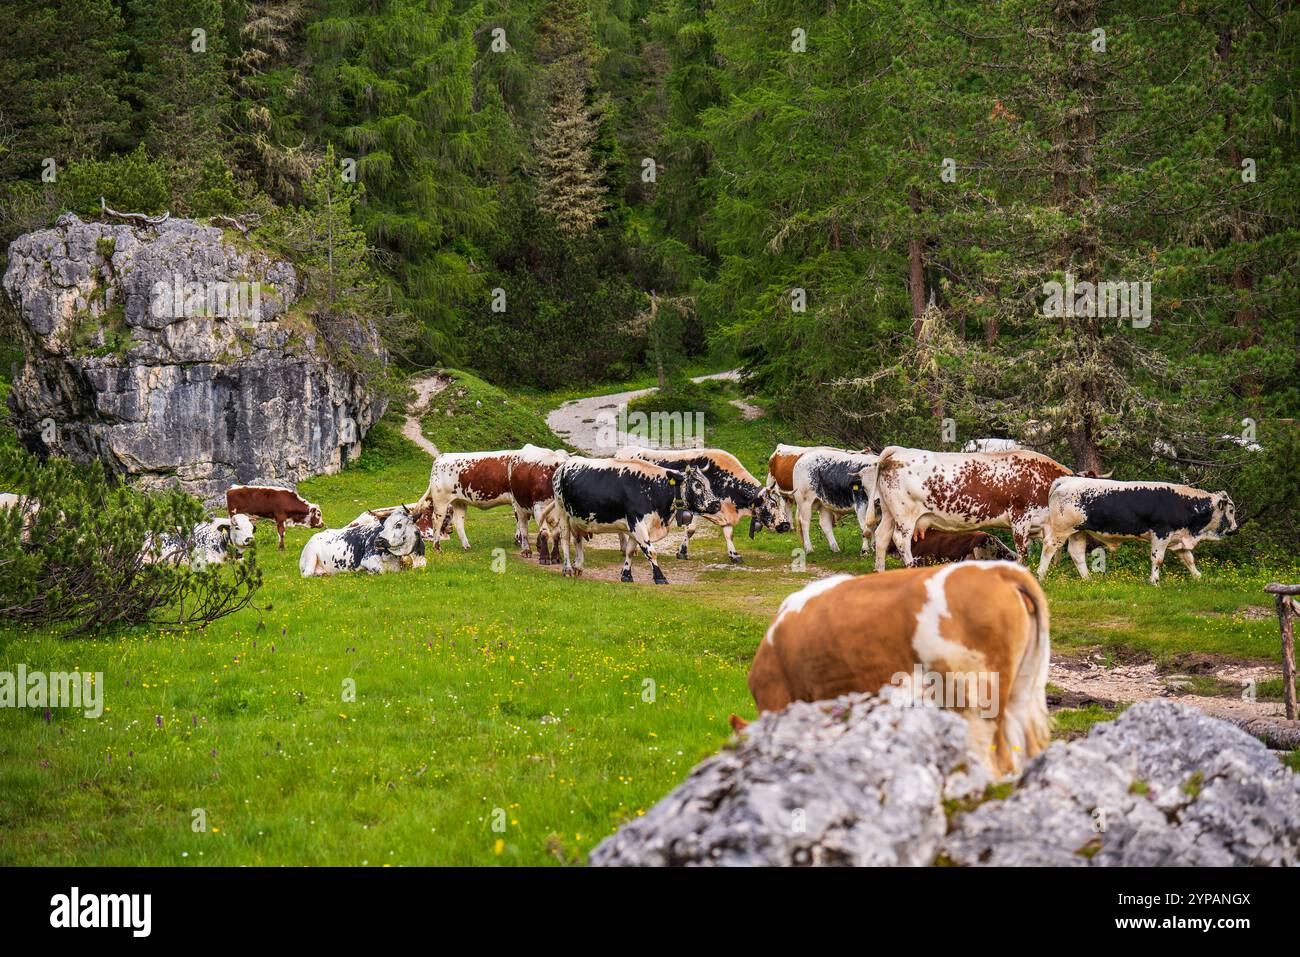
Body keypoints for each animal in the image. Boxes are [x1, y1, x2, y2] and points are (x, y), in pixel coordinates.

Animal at [551, 458, 721, 584]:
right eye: (697, 484)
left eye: (707, 483)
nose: (716, 504)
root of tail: (563, 466)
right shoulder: (637, 522)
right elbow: (650, 551)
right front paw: (660, 577)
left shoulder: (634, 526)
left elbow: (630, 550)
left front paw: (626, 575)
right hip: (562, 512)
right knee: (565, 539)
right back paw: (567, 569)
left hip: (577, 518)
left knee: (577, 540)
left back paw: (578, 566)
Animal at [615, 447, 789, 564]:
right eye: (773, 502)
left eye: (783, 503)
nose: (786, 525)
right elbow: (691, 530)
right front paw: (682, 552)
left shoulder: (723, 511)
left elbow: (728, 533)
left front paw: (734, 555)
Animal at [870, 446, 1075, 571]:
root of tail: (899, 451)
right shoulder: (1020, 516)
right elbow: (1022, 550)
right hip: (905, 516)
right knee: (900, 540)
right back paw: (911, 566)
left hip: (889, 513)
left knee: (881, 537)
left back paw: (880, 571)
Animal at [1037, 478, 1239, 585]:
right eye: (1231, 509)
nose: (1235, 529)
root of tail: (1067, 479)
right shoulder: (1161, 534)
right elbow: (1158, 559)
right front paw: (1155, 582)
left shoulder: (1178, 538)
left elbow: (1189, 559)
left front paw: (1200, 578)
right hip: (1061, 530)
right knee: (1048, 547)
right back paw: (1040, 576)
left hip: (1078, 531)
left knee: (1077, 553)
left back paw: (1088, 579)